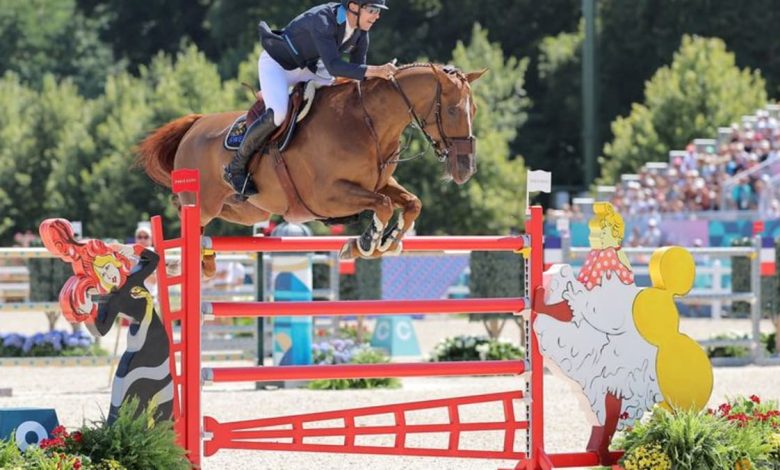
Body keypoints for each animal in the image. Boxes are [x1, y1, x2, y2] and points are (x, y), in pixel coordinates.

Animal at [137, 63, 484, 260]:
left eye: (475, 110)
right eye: (452, 111)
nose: (465, 169)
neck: (368, 123)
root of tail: (195, 125)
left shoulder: (379, 183)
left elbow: (410, 203)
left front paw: (390, 241)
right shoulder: (327, 196)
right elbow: (384, 204)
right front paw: (366, 243)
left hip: (251, 212)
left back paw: (208, 261)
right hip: (203, 202)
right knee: (187, 215)